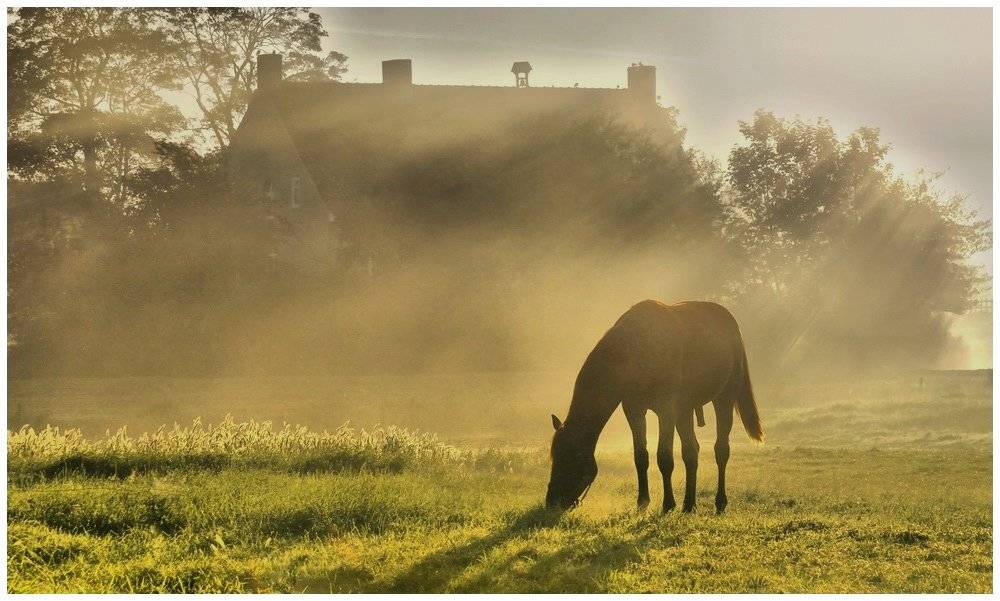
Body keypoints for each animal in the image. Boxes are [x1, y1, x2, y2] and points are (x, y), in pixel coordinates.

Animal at [545, 300, 763, 513]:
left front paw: (668, 504)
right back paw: (689, 505)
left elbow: (664, 458)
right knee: (691, 451)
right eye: (554, 456)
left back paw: (719, 502)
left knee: (721, 450)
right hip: (684, 411)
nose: (552, 500)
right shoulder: (634, 410)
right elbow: (641, 456)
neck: (638, 350)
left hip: (723, 399)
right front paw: (642, 502)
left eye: (571, 458)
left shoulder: (666, 411)